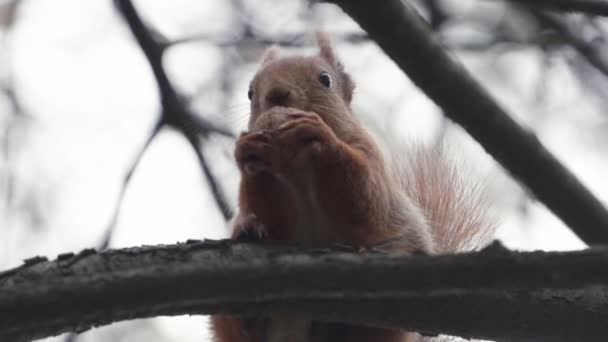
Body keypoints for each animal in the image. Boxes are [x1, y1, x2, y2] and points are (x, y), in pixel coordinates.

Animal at [211, 32, 496, 342]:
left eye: (325, 79)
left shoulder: (369, 158)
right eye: (250, 92)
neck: (297, 167)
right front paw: (247, 150)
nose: (276, 94)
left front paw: (319, 135)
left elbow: (367, 203)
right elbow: (269, 214)